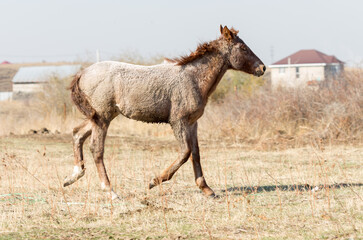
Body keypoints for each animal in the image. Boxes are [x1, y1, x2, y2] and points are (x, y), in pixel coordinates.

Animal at [64, 25, 266, 200]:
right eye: (243, 48)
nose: (262, 68)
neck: (192, 78)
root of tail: (83, 73)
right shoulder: (178, 121)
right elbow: (185, 152)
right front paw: (154, 181)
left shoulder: (192, 123)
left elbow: (196, 152)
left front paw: (206, 189)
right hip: (103, 118)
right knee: (96, 149)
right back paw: (110, 191)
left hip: (99, 117)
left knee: (77, 133)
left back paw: (73, 176)